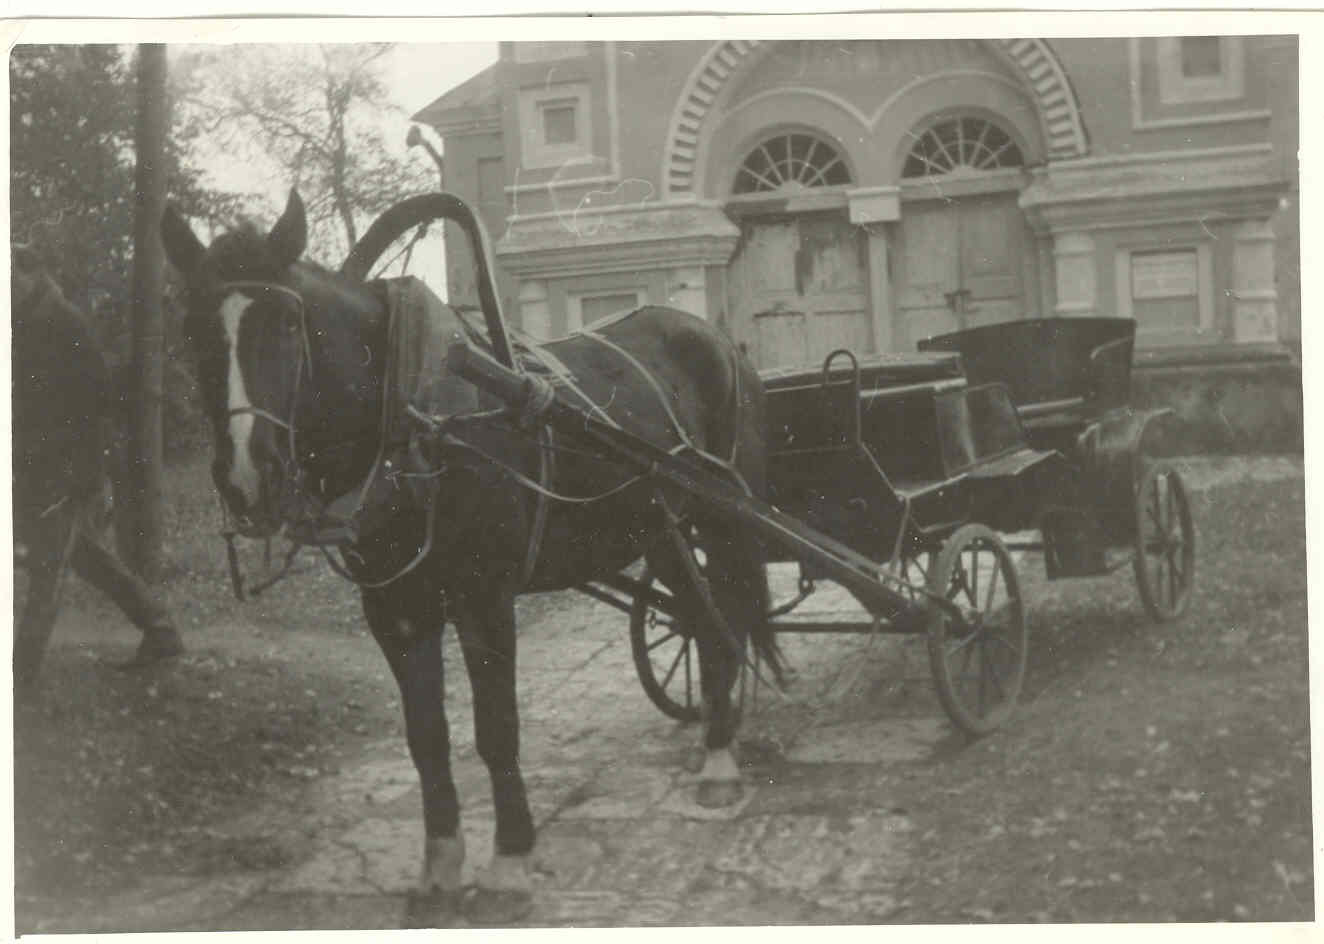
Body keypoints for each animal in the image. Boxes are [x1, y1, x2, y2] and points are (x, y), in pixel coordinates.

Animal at [165, 191, 783, 921]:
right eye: (192, 328)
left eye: (287, 323)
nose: (246, 475)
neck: (415, 413)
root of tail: (714, 337)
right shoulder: (394, 608)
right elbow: (427, 735)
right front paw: (440, 867)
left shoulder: (483, 598)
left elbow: (496, 727)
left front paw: (510, 859)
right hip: (661, 531)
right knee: (706, 621)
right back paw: (714, 741)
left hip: (724, 519)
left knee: (730, 615)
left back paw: (720, 759)